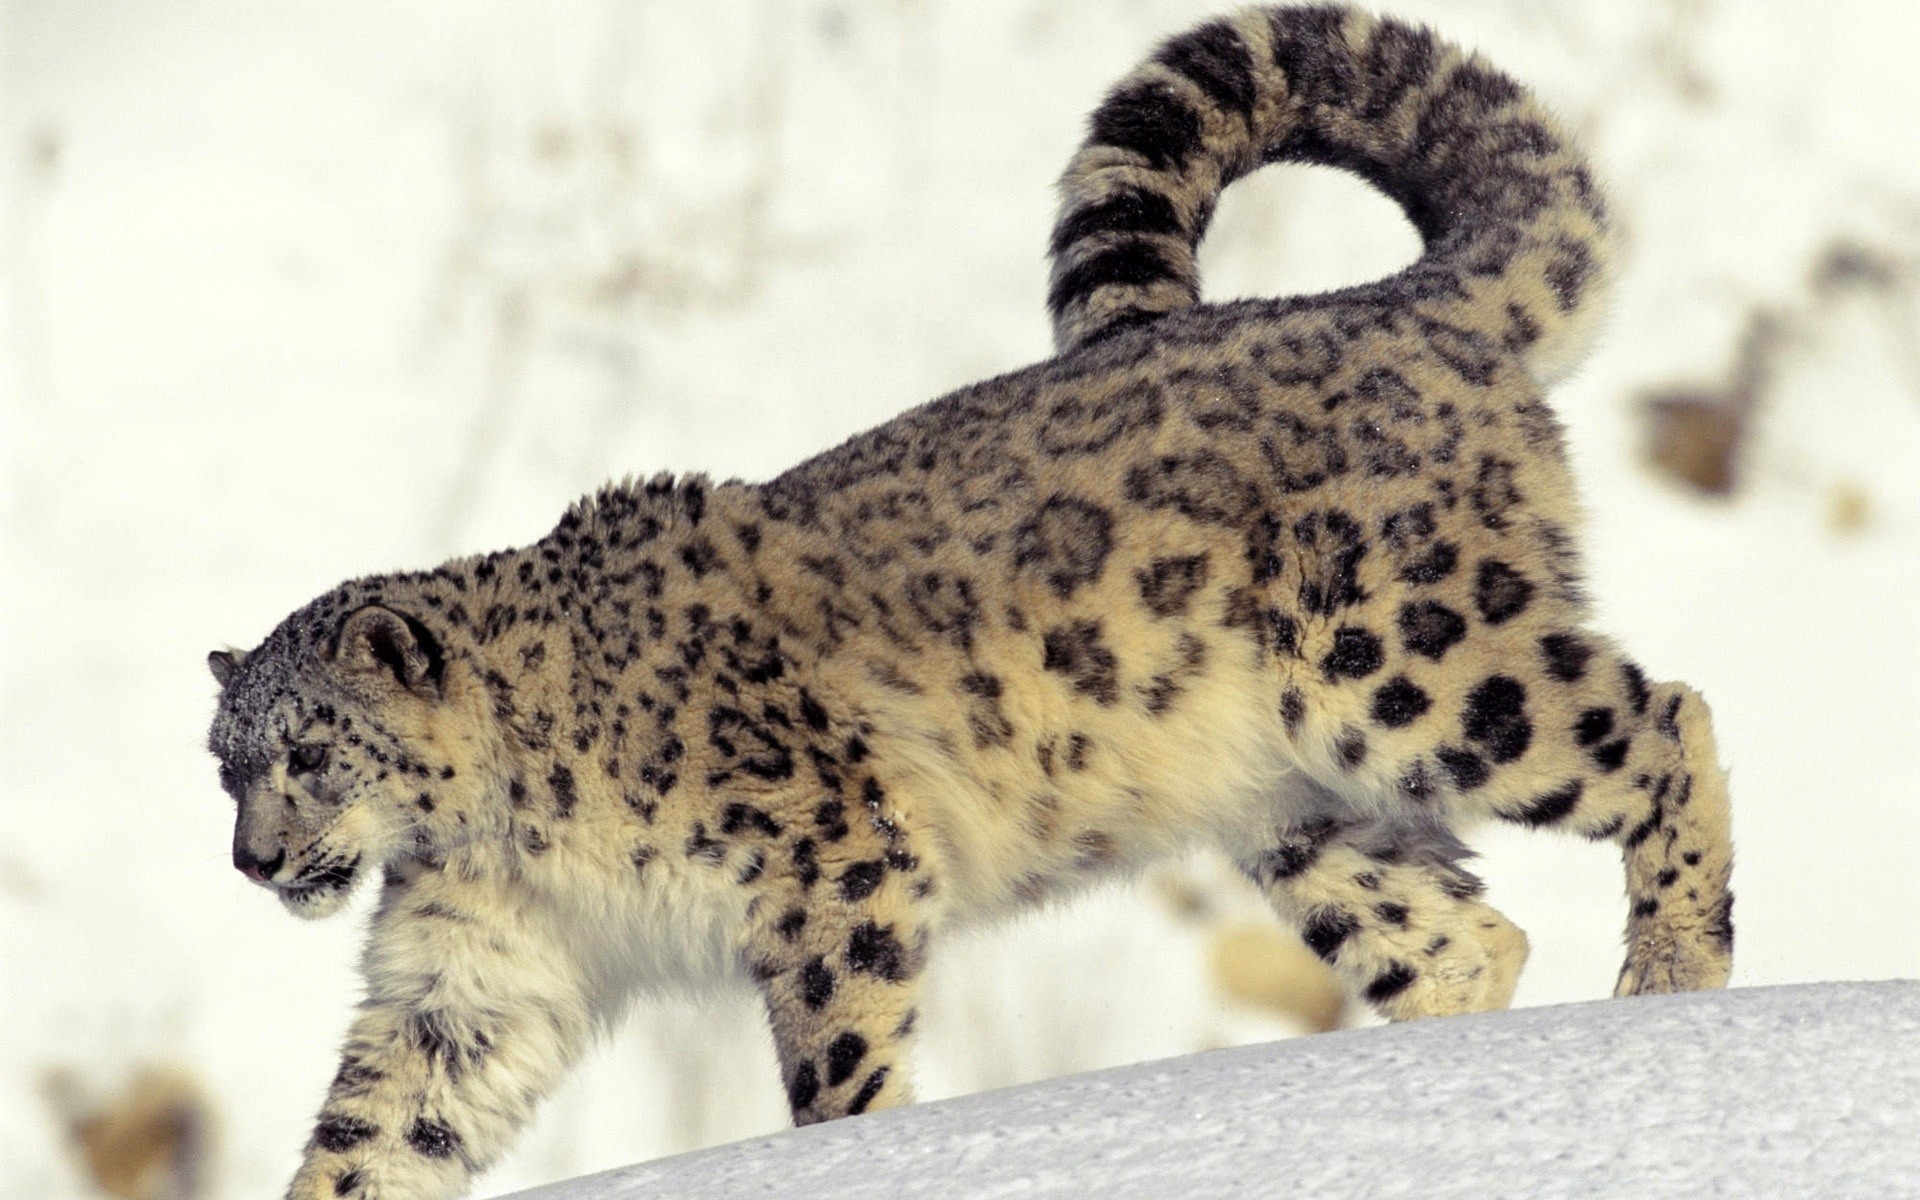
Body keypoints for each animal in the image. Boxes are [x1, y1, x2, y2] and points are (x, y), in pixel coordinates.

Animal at [210, 7, 1743, 1190]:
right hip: (1299, 802)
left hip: (1408, 662)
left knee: (1665, 718)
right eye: (223, 766)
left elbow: (835, 1048)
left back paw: (1670, 972)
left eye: (309, 750)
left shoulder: (825, 859)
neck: (503, 832)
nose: (252, 860)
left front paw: (863, 1155)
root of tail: (1403, 304)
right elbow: (378, 1129)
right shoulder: (472, 971)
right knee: (1462, 931)